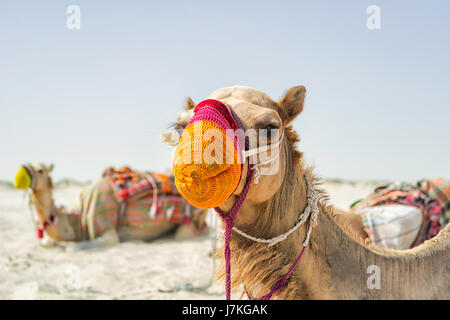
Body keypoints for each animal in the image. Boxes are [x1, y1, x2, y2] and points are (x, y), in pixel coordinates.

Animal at [15, 162, 209, 250]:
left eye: (40, 170)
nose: (23, 168)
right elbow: (47, 242)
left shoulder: (104, 224)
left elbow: (81, 244)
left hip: (191, 219)